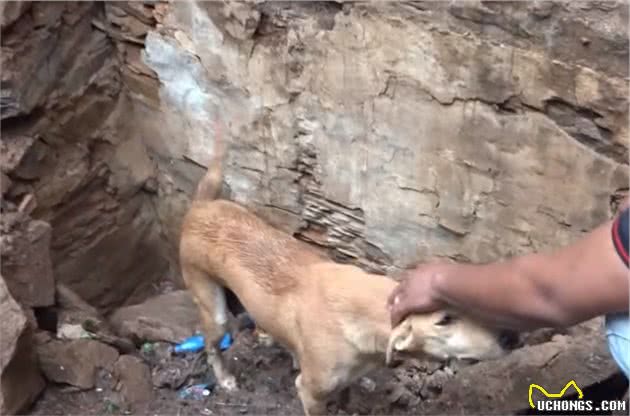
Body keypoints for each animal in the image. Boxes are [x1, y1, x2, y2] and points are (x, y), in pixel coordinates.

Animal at [179, 121, 518, 415]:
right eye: (443, 320)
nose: (511, 338)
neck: (366, 315)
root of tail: (202, 206)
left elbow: (347, 395)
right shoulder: (310, 393)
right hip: (214, 310)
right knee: (212, 346)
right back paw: (225, 378)